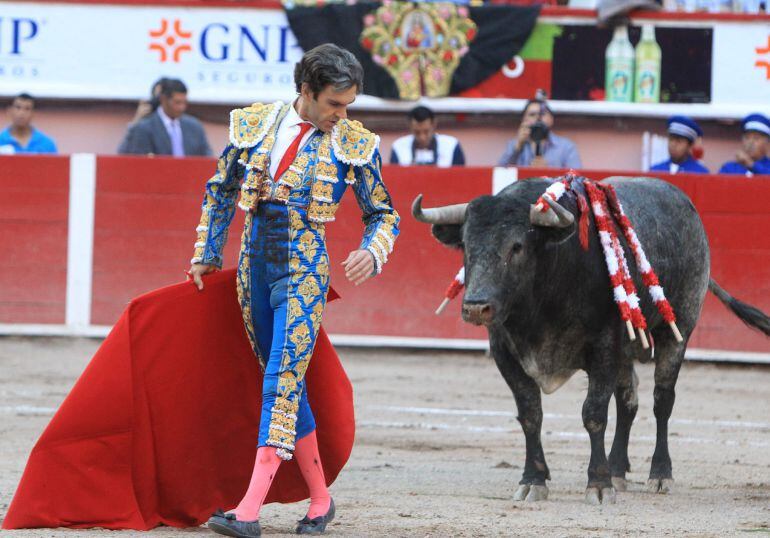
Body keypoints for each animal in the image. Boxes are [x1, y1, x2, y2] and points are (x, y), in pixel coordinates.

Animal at [412, 176, 768, 502]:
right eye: (466, 246)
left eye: (517, 246)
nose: (476, 306)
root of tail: (685, 203)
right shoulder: (504, 351)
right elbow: (530, 413)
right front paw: (533, 480)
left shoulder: (603, 347)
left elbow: (594, 413)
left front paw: (598, 484)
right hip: (627, 346)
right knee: (628, 402)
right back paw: (618, 469)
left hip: (677, 327)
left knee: (662, 400)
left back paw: (659, 475)